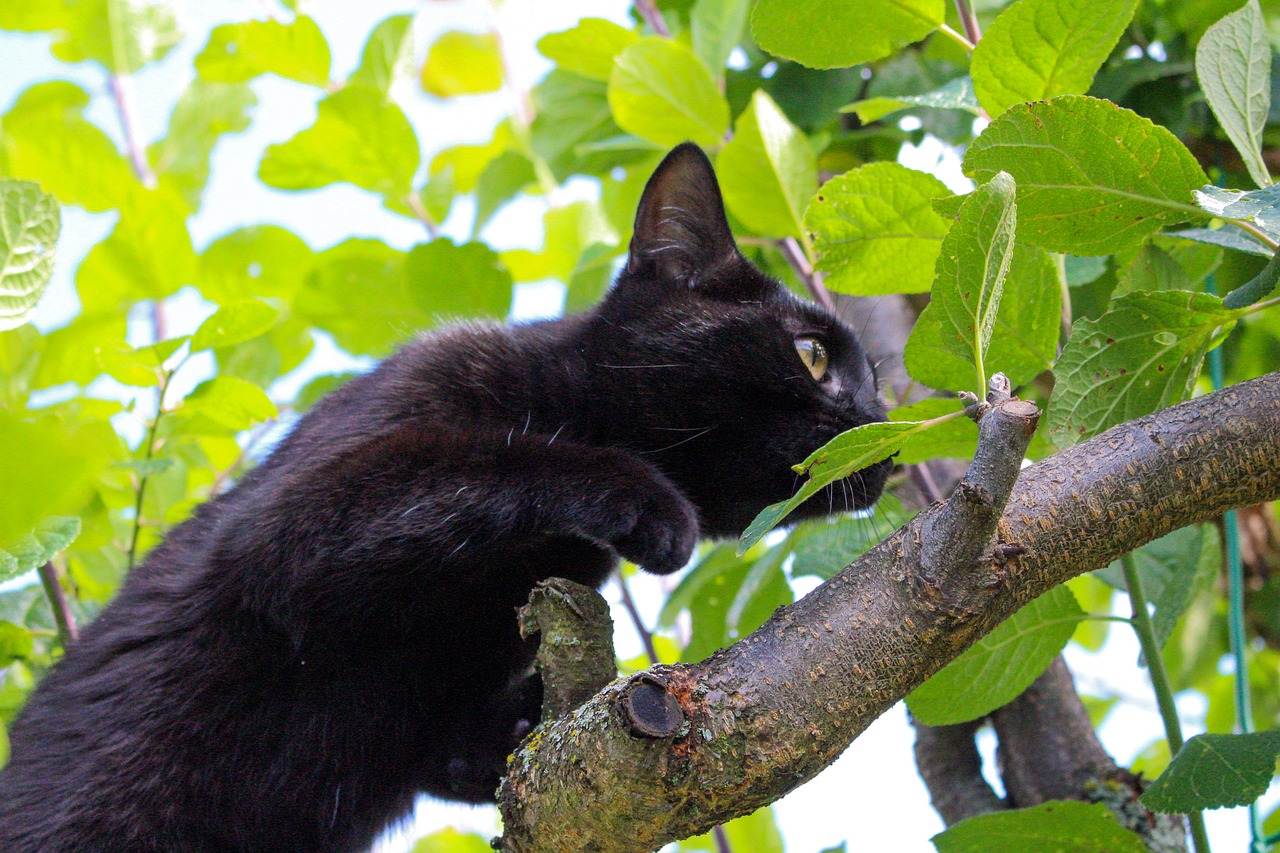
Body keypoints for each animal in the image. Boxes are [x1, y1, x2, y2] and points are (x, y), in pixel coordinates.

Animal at [2, 146, 890, 850]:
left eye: (875, 380)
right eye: (812, 354)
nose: (885, 423)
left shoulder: (444, 722)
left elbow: (473, 745)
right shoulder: (299, 520)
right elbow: (497, 460)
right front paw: (650, 502)